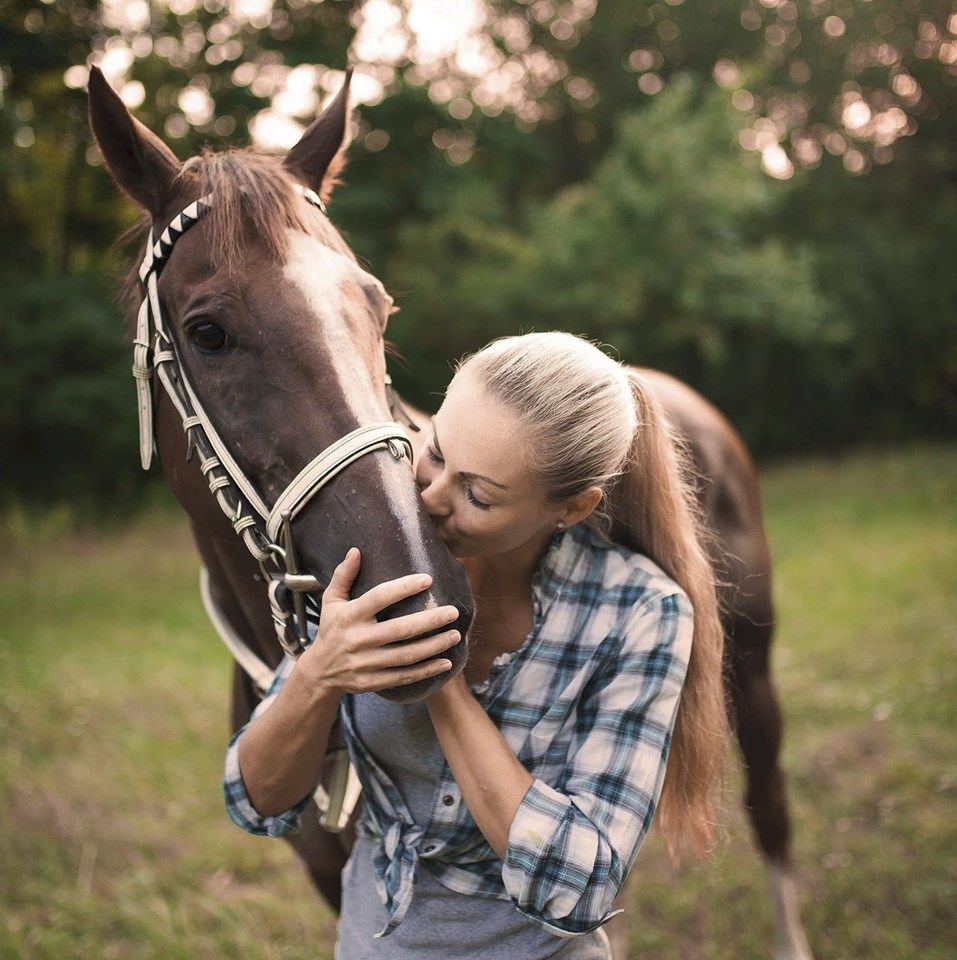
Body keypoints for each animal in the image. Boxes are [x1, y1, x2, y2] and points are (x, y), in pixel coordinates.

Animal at [86, 67, 812, 960]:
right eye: (208, 331)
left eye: (377, 308)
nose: (422, 595)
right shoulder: (324, 865)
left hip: (751, 668)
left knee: (770, 809)